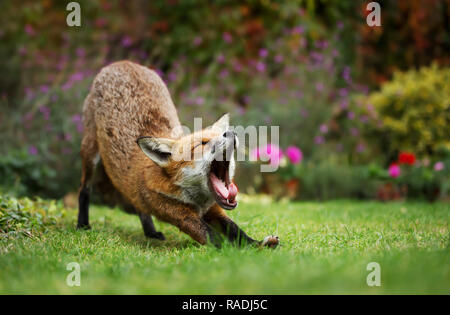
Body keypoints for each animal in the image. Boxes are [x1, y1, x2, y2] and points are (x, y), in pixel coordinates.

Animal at [79, 60, 280, 248]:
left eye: (221, 134)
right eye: (202, 143)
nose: (230, 132)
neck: (198, 201)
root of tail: (122, 63)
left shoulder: (214, 209)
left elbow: (236, 231)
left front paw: (257, 245)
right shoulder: (180, 214)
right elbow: (213, 237)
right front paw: (235, 252)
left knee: (139, 206)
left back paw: (150, 232)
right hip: (90, 154)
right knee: (85, 189)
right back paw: (82, 225)